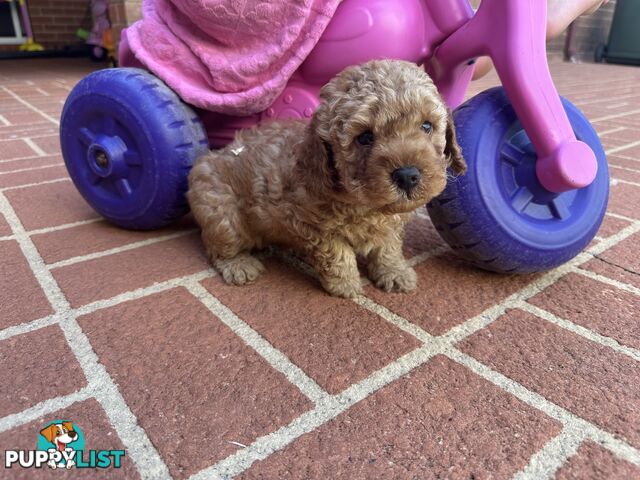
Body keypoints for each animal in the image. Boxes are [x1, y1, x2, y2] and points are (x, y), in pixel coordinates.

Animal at [189, 60, 464, 296]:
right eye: (364, 137)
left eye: (427, 126)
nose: (407, 175)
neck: (364, 203)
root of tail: (207, 159)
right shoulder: (314, 225)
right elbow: (337, 253)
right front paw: (346, 285)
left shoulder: (389, 224)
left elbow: (388, 247)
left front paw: (395, 273)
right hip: (223, 217)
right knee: (217, 247)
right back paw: (239, 265)